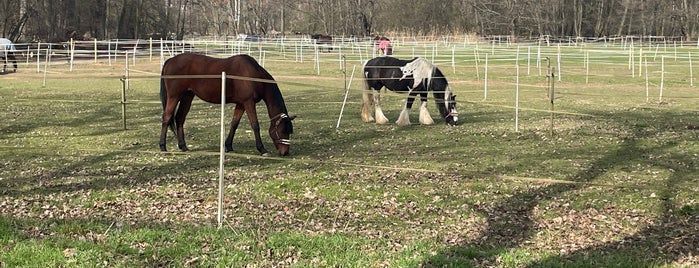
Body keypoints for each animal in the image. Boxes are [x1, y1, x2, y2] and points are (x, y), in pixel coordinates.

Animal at [159, 52, 296, 156]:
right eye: (283, 130)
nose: (285, 152)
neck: (253, 75)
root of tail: (170, 60)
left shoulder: (241, 104)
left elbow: (234, 124)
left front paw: (229, 146)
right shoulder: (249, 103)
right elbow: (255, 125)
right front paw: (262, 149)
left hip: (187, 96)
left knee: (179, 118)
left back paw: (183, 146)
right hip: (174, 96)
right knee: (167, 117)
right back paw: (163, 146)